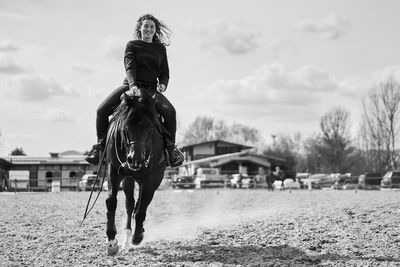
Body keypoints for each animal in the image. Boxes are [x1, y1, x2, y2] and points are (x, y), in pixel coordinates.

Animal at [104, 87, 166, 255]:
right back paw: (126, 237)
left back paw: (136, 234)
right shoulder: (114, 170)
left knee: (142, 203)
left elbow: (142, 207)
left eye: (150, 127)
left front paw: (137, 236)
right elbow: (111, 201)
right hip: (128, 178)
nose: (135, 159)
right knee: (130, 204)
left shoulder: (150, 177)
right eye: (125, 126)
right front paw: (111, 241)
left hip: (154, 178)